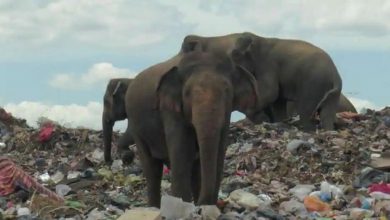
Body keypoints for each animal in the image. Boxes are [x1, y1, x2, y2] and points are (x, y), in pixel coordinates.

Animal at [125, 42, 258, 207]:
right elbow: (183, 150)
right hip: (136, 126)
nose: (202, 203)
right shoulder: (170, 110)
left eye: (227, 92)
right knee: (152, 167)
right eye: (187, 93)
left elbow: (220, 149)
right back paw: (154, 207)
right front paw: (182, 204)